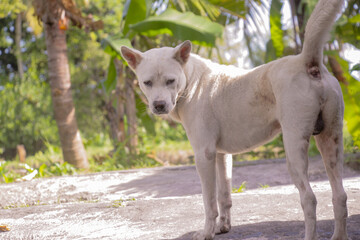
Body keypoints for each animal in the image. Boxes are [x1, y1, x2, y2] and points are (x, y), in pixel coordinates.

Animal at [121, 0, 348, 239]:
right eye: (146, 82)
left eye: (170, 81)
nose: (159, 106)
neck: (192, 79)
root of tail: (306, 61)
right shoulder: (222, 155)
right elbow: (224, 196)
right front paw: (223, 227)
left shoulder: (204, 155)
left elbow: (209, 202)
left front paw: (207, 233)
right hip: (331, 141)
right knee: (340, 195)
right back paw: (339, 236)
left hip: (294, 149)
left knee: (309, 198)